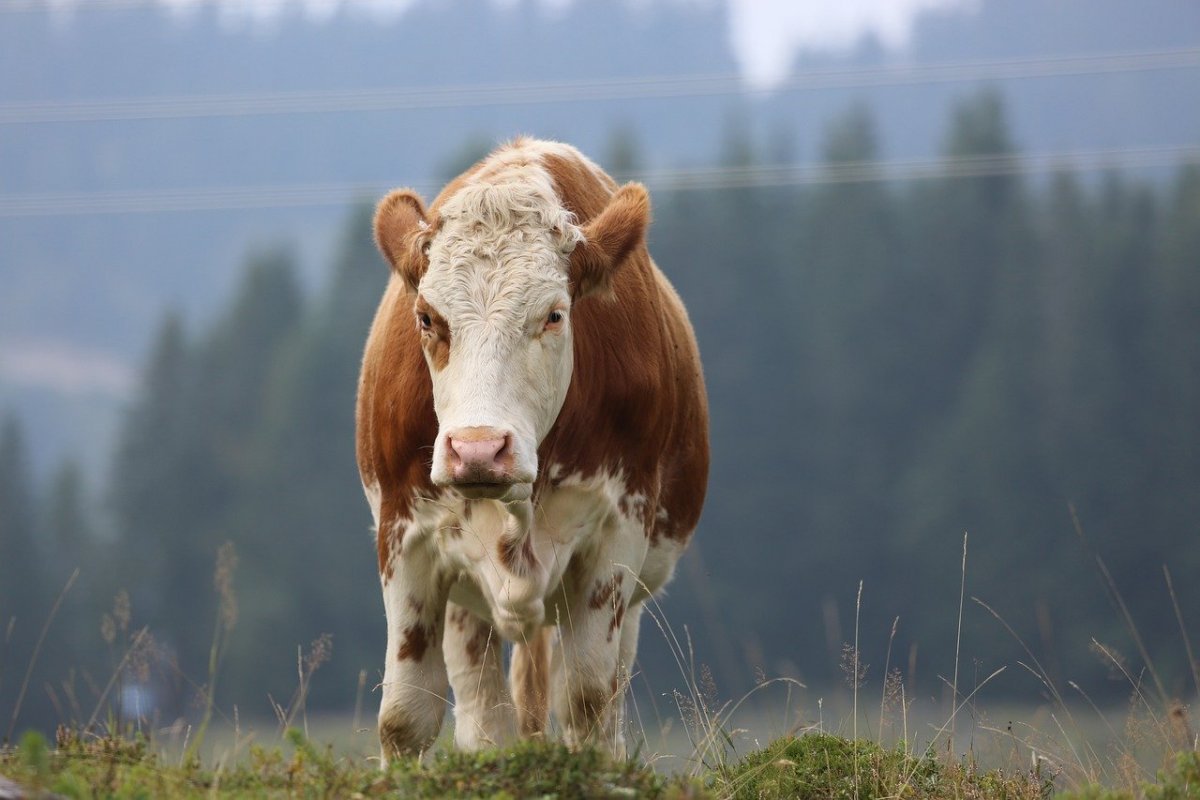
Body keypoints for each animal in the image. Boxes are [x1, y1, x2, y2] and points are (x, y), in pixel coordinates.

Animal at [356, 137, 709, 762]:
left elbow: (588, 701)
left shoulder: (619, 531)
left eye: (553, 315)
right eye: (427, 318)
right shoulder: (404, 534)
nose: (477, 450)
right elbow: (404, 715)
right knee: (484, 708)